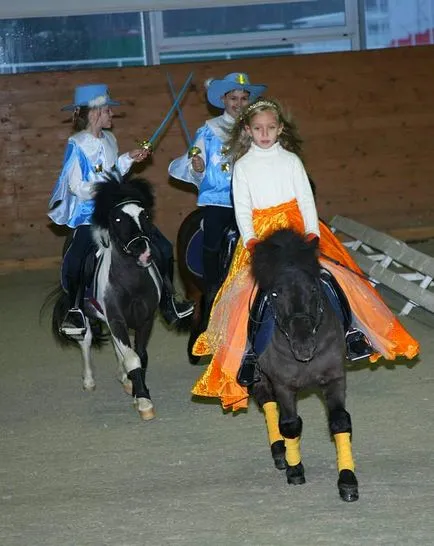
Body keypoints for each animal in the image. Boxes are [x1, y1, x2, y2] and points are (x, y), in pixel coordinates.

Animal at [50, 178, 163, 420]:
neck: (132, 283)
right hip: (85, 314)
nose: (143, 250)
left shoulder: (145, 320)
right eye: (118, 219)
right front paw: (143, 402)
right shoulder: (116, 319)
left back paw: (124, 379)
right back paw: (89, 381)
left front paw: (137, 391)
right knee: (86, 341)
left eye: (145, 215)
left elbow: (140, 356)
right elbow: (132, 358)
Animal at [251, 227, 360, 500]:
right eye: (275, 293)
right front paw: (295, 470)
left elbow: (340, 421)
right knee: (266, 401)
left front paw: (347, 481)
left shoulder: (334, 378)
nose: (304, 347)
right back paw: (280, 452)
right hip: (258, 377)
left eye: (313, 289)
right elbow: (290, 424)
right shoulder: (283, 384)